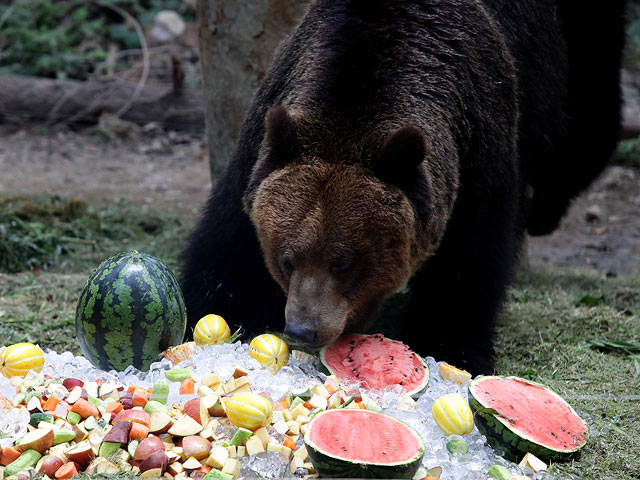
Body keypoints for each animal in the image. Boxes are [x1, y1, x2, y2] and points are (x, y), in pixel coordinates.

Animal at [181, 0, 624, 374]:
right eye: (286, 259)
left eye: (344, 261)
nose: (303, 329)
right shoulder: (270, 128)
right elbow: (228, 247)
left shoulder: (480, 142)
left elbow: (470, 262)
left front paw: (453, 346)